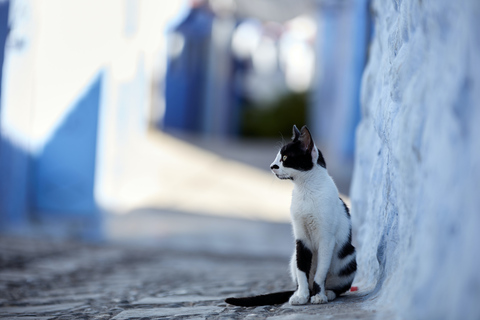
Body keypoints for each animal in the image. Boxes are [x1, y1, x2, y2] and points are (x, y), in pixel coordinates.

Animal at [225, 124, 356, 304]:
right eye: (277, 157)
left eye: (285, 157)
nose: (272, 166)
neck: (306, 190)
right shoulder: (300, 238)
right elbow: (302, 269)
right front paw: (301, 295)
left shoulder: (326, 238)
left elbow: (320, 272)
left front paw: (319, 295)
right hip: (292, 257)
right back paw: (300, 293)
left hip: (349, 257)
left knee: (339, 287)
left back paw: (327, 293)